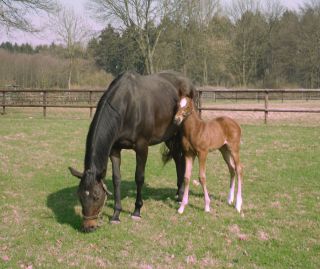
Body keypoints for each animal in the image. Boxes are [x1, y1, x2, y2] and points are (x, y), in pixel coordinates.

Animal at [68, 70, 195, 230]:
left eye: (96, 196)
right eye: (80, 196)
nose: (88, 226)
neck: (128, 105)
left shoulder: (142, 147)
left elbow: (139, 177)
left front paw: (137, 211)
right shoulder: (115, 149)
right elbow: (116, 179)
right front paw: (116, 214)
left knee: (182, 160)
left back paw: (182, 195)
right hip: (169, 136)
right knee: (178, 159)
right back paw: (178, 193)